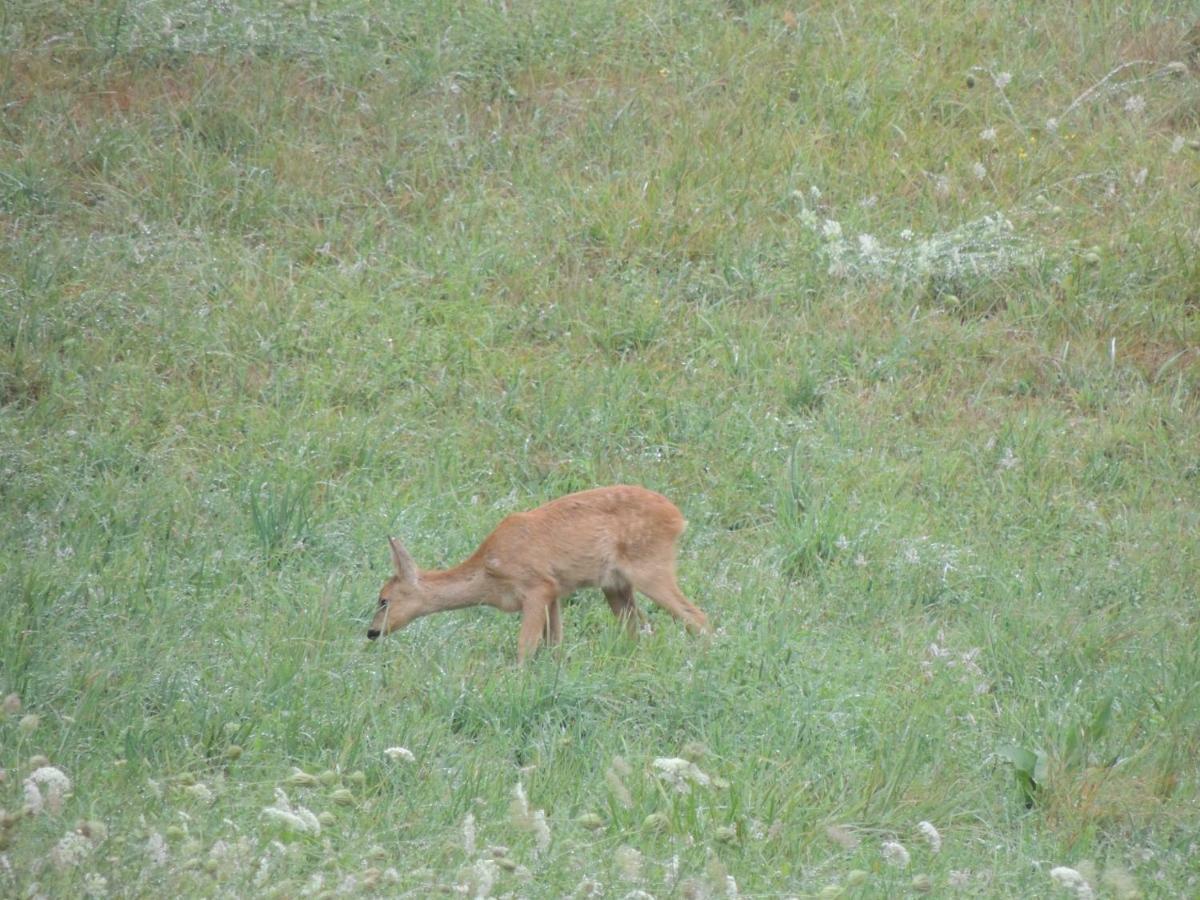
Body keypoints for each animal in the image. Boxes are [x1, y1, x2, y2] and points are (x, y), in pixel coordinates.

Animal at [362, 487, 700, 662]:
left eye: (383, 599)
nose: (372, 632)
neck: (488, 574)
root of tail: (678, 518)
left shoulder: (536, 587)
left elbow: (525, 646)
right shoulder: (555, 593)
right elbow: (554, 644)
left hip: (651, 567)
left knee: (696, 616)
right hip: (616, 586)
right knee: (638, 629)